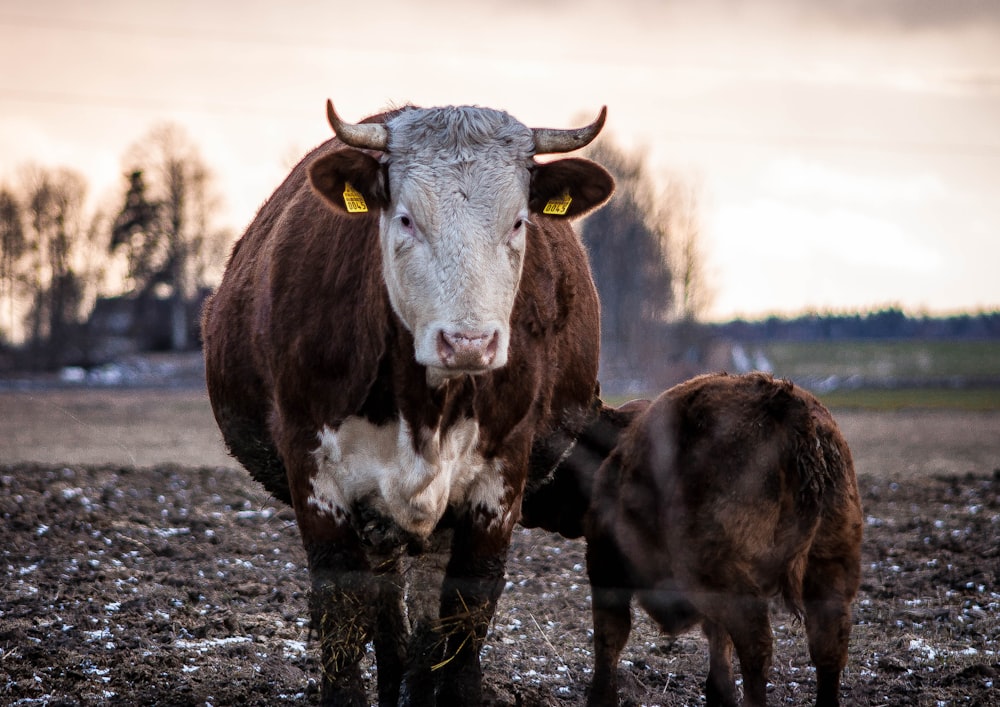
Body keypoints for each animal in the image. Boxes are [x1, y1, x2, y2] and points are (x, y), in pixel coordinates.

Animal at [200, 101, 612, 707]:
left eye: (518, 222)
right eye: (406, 219)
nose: (468, 342)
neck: (424, 408)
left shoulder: (502, 476)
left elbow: (466, 612)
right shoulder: (314, 470)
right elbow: (345, 610)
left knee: (422, 615)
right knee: (391, 611)